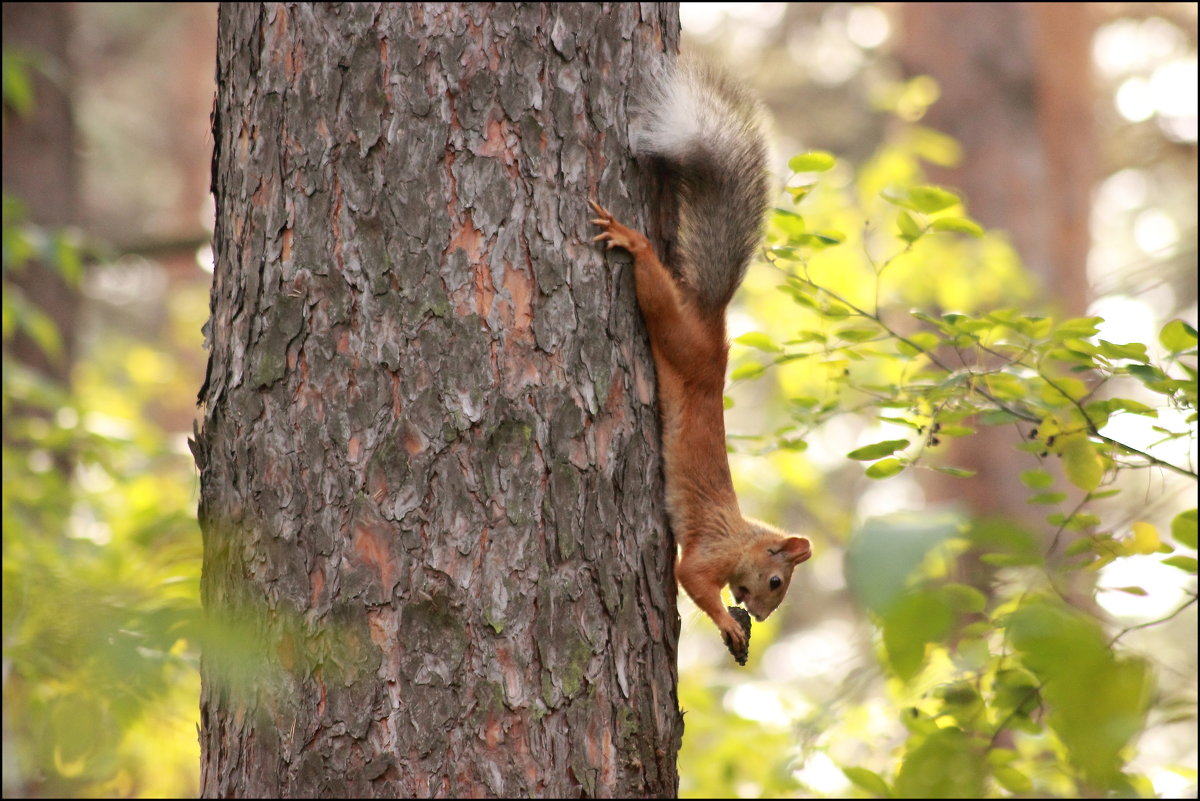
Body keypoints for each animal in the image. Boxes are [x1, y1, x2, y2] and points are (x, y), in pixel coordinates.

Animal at [592, 57, 816, 657]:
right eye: (776, 581)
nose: (759, 616)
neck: (743, 537)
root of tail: (714, 331)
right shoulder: (712, 552)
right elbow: (690, 577)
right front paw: (726, 624)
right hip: (678, 337)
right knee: (656, 295)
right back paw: (633, 241)